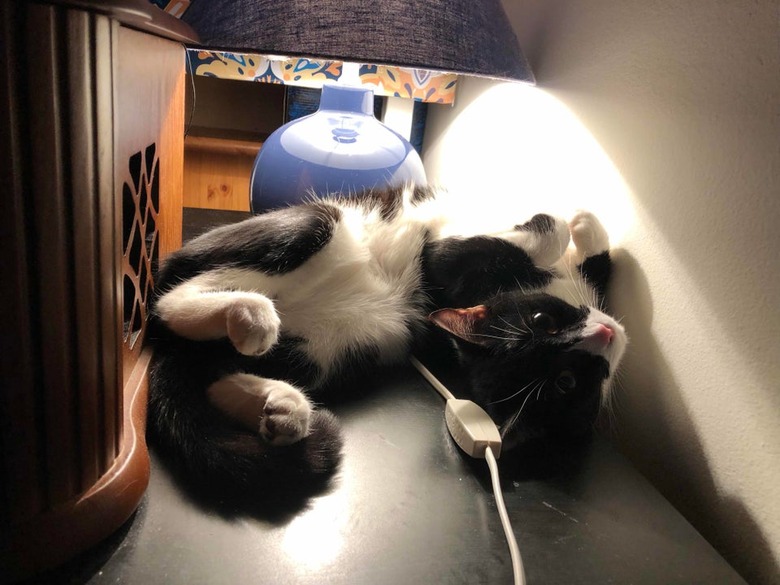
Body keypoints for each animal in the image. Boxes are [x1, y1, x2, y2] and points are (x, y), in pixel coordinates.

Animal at [146, 185, 624, 500]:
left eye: (567, 383)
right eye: (542, 320)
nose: (606, 334)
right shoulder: (445, 260)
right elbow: (559, 237)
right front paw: (583, 222)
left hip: (326, 352)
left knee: (211, 372)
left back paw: (282, 408)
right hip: (312, 224)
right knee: (168, 297)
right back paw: (253, 317)